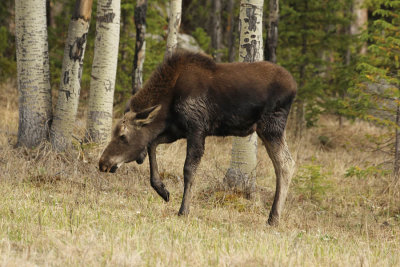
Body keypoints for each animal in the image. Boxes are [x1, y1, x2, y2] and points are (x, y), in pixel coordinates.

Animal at [98, 51, 296, 226]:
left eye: (123, 135)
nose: (103, 163)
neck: (168, 104)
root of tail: (294, 87)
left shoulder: (196, 128)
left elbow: (188, 169)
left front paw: (183, 210)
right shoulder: (177, 130)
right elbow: (151, 144)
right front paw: (162, 190)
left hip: (272, 126)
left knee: (286, 163)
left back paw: (273, 218)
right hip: (266, 129)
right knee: (282, 164)